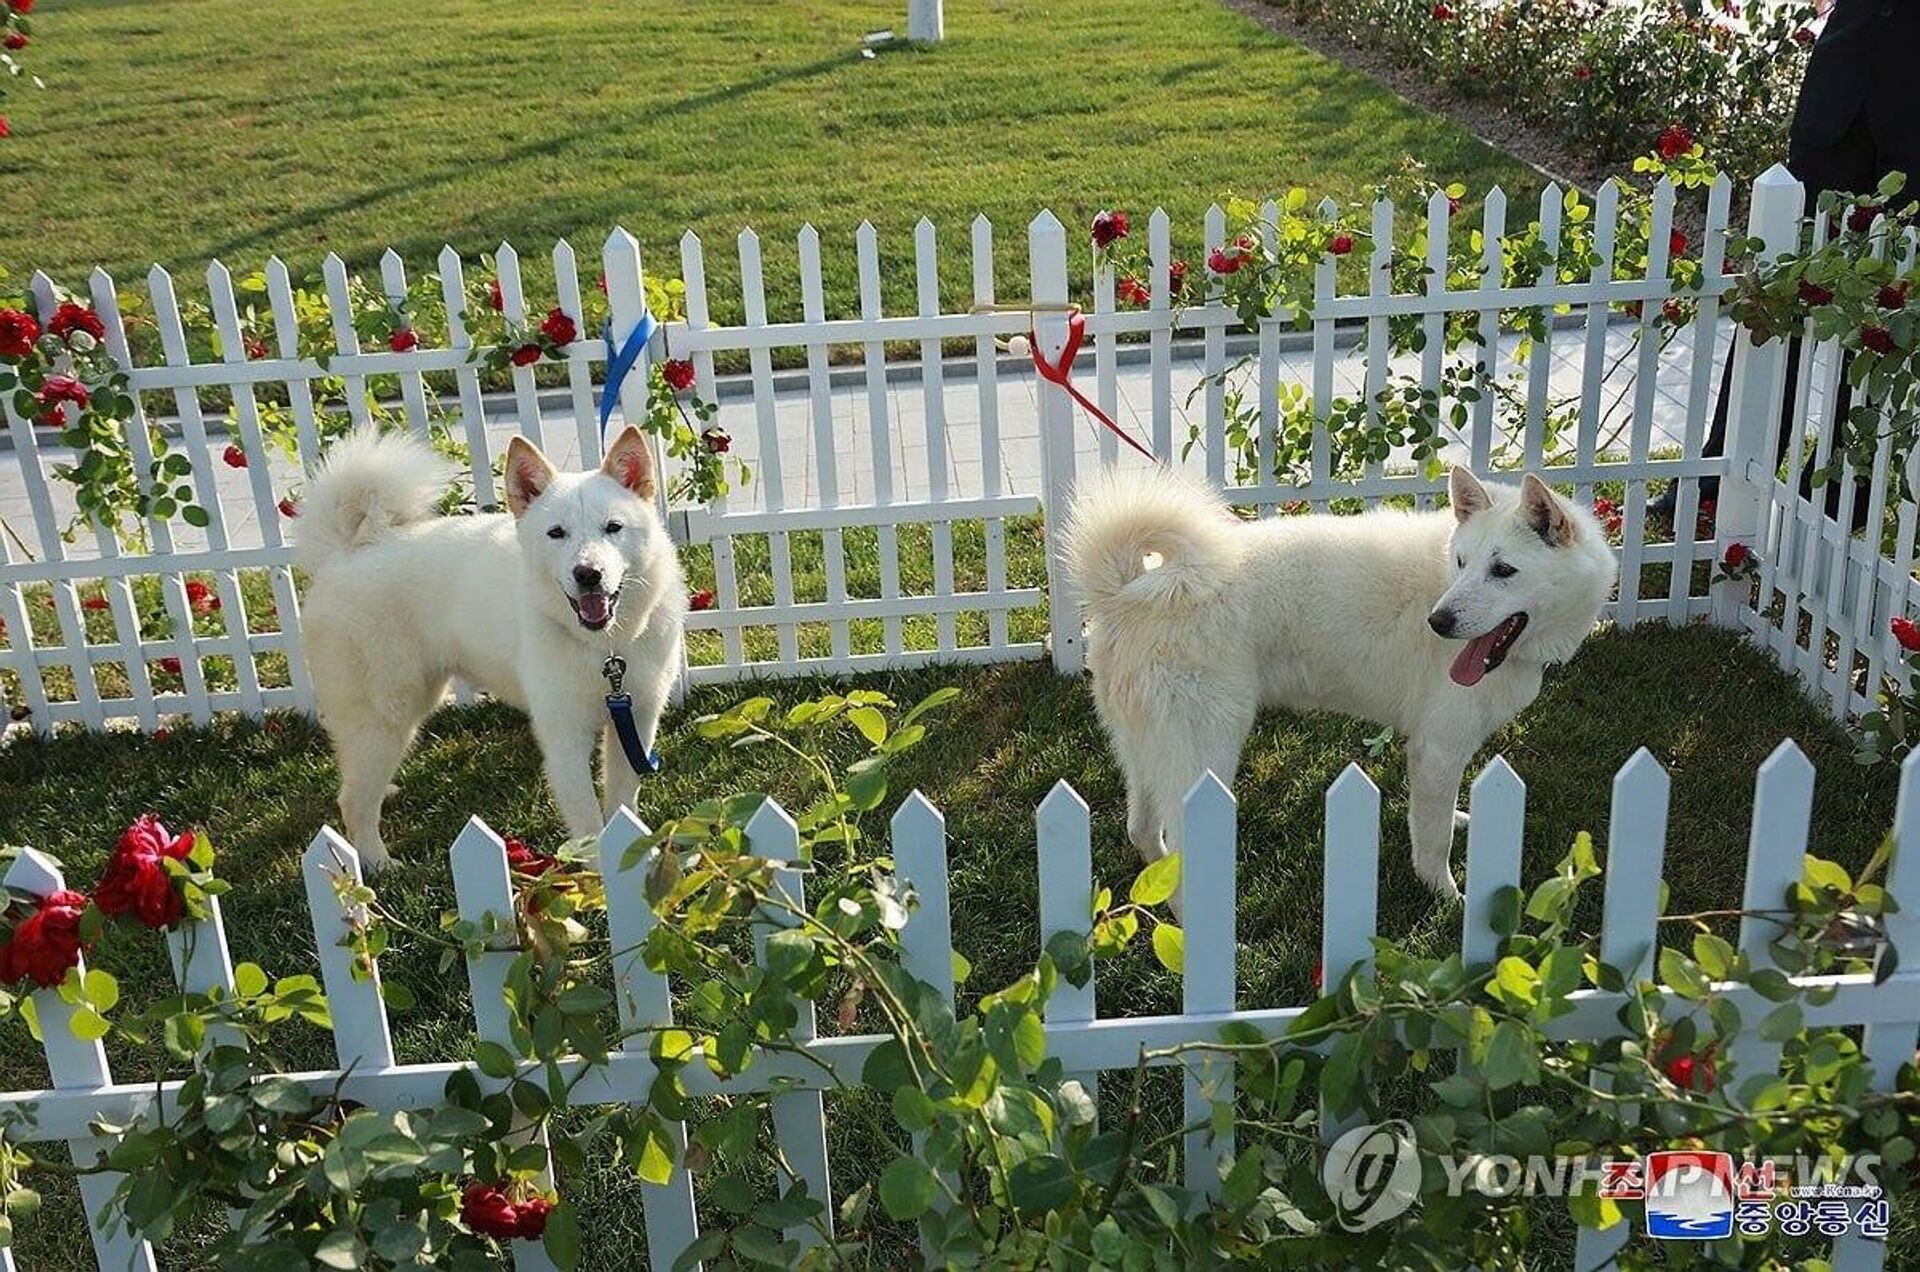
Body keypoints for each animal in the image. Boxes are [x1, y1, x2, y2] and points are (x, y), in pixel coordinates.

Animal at [295, 428, 687, 876]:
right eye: (557, 533)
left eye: (613, 528)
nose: (588, 574)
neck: (605, 647)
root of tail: (348, 550)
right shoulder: (564, 735)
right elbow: (588, 820)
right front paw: (598, 877)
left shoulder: (635, 721)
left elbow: (622, 802)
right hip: (386, 716)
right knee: (352, 799)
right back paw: (378, 863)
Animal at [1067, 466, 1620, 895]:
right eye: (1462, 562)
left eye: (1503, 570)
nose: (1437, 622)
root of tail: (1129, 595)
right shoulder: (1438, 748)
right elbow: (1433, 840)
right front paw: (1444, 895)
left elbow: (1433, 818)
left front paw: (1460, 822)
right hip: (1204, 757)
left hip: (1145, 750)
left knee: (1141, 829)